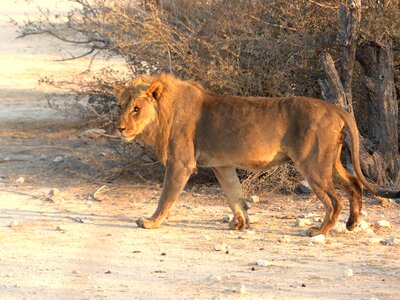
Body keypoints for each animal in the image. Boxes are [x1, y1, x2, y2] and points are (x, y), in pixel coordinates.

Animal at [114, 73, 398, 237]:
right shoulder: (222, 165)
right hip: (330, 162)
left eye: (137, 109)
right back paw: (351, 224)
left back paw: (319, 230)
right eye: (120, 107)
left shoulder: (181, 163)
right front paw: (240, 223)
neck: (163, 113)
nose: (120, 128)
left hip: (312, 163)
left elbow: (166, 197)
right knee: (354, 184)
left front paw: (151, 222)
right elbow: (234, 195)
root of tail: (335, 108)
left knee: (333, 200)